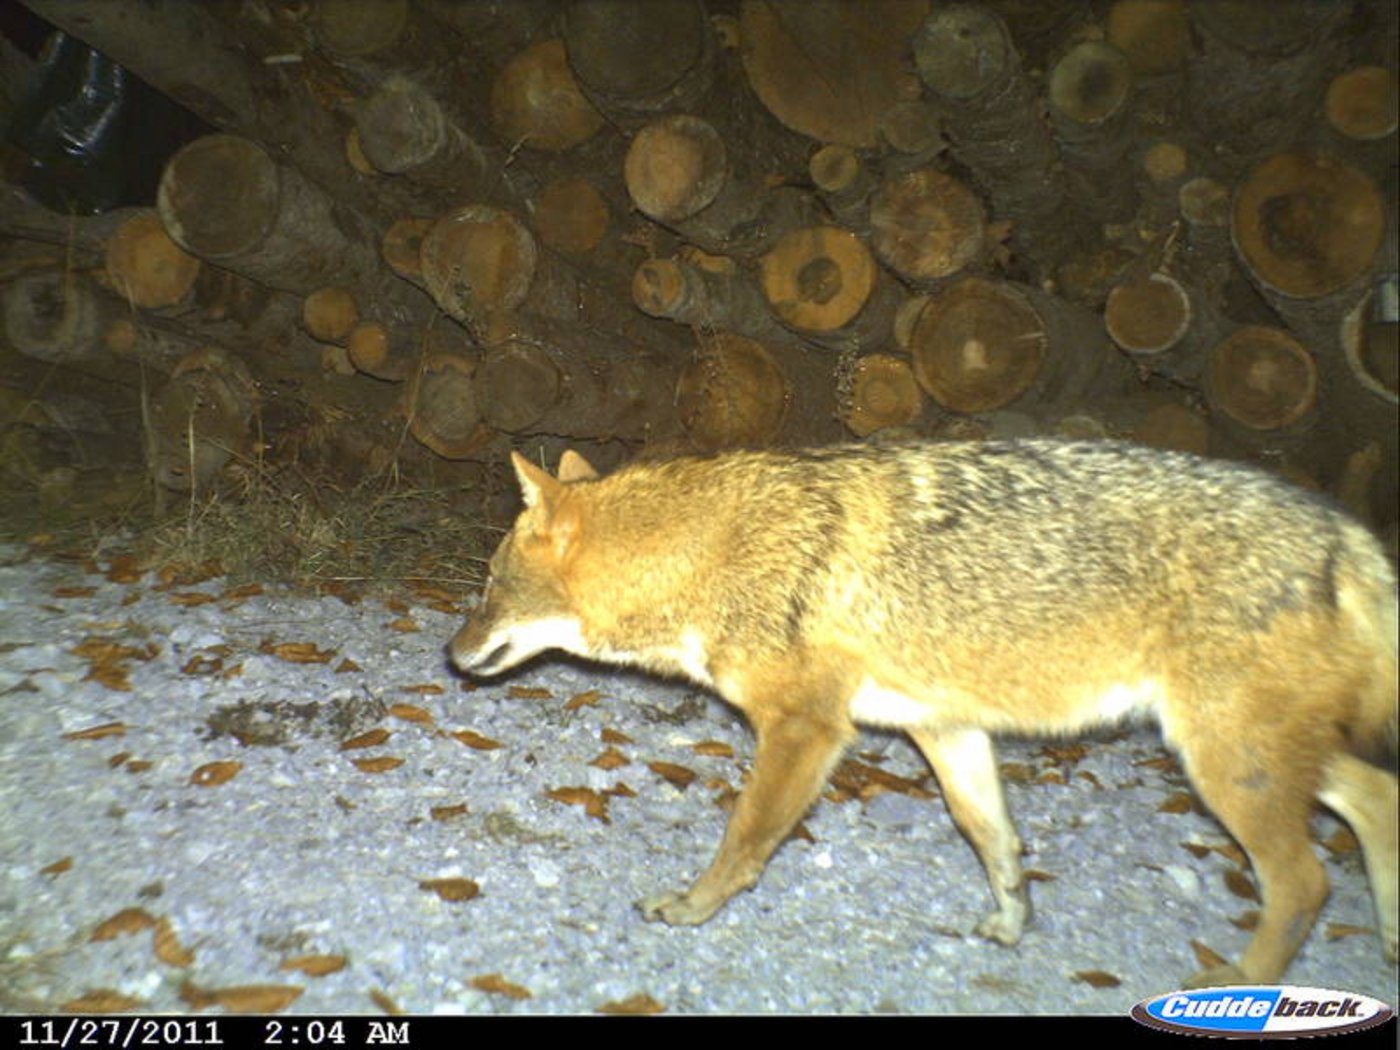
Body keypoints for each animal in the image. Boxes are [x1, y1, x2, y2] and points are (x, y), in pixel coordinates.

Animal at [448, 438, 1398, 988]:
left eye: (489, 586)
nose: (451, 656)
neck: (714, 552)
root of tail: (1348, 536)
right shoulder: (944, 728)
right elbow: (994, 840)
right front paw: (1012, 926)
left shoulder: (807, 730)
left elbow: (744, 839)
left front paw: (690, 908)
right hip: (1264, 756)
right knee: (1377, 804)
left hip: (1226, 763)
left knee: (1305, 884)